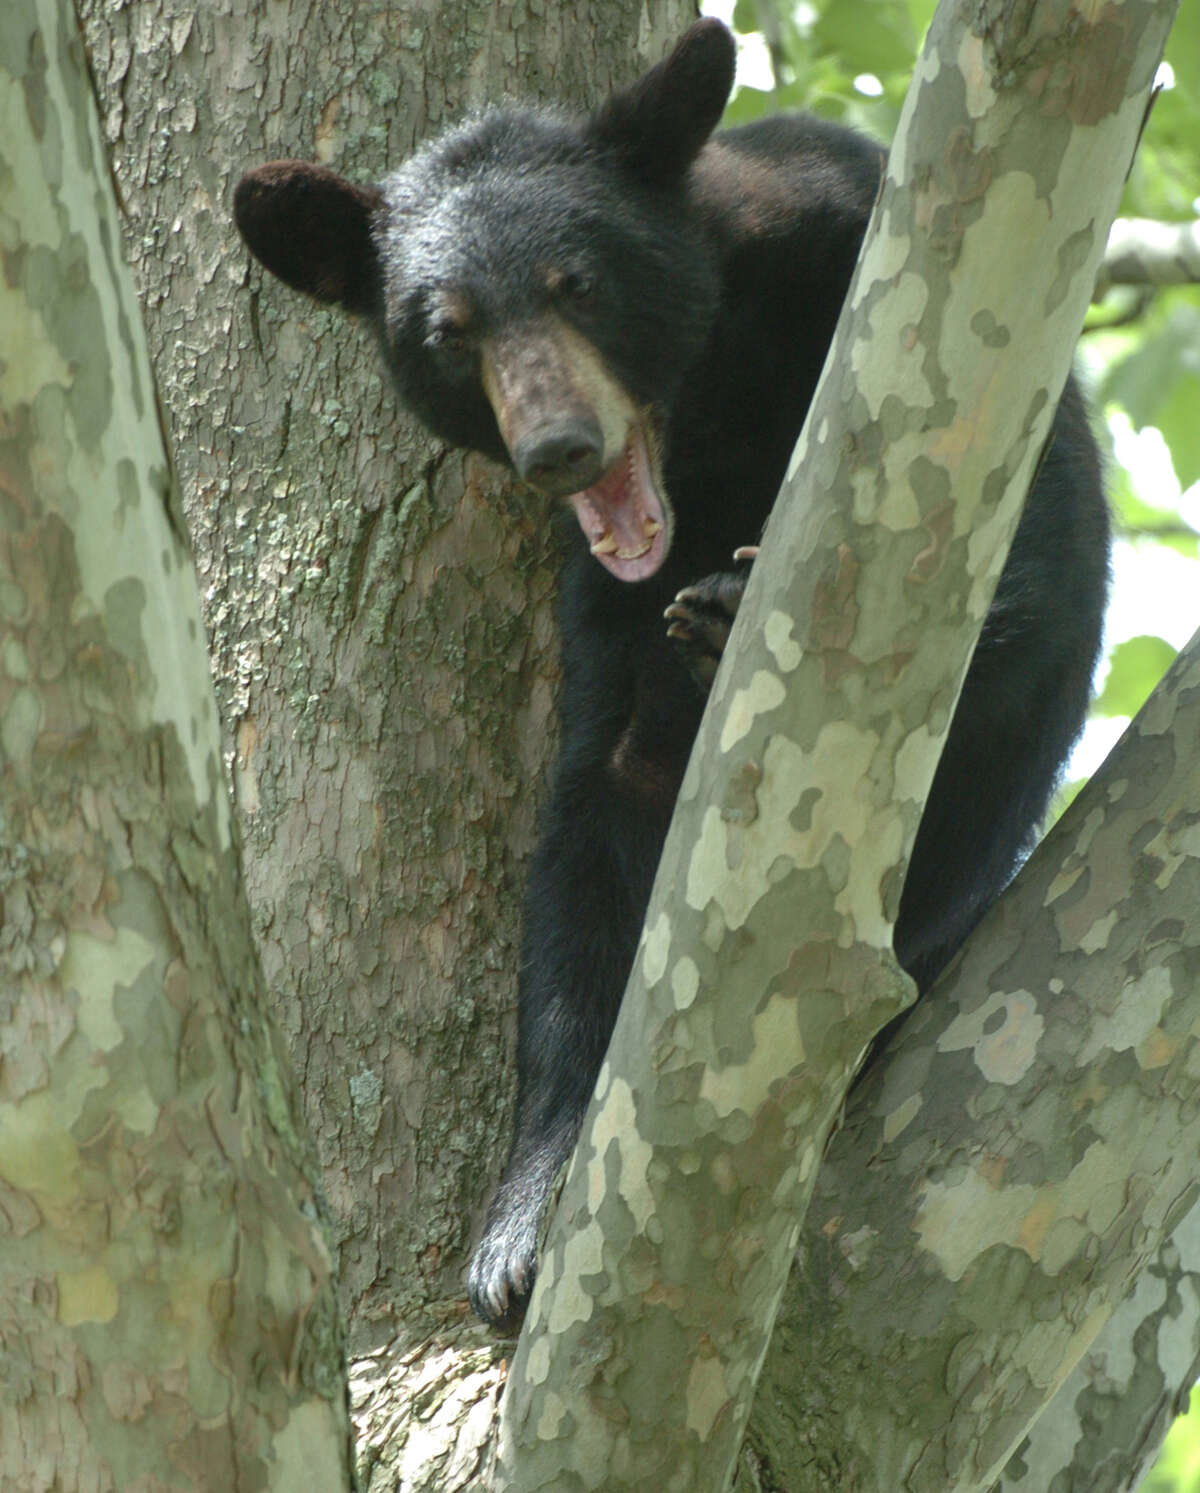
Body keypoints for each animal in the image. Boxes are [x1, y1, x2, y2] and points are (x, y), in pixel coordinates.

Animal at [234, 20, 1104, 1331]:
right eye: (449, 329)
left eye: (578, 285)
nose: (560, 447)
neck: (710, 408)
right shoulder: (600, 602)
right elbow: (599, 816)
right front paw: (520, 1220)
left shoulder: (866, 253)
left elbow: (1025, 530)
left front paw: (740, 607)